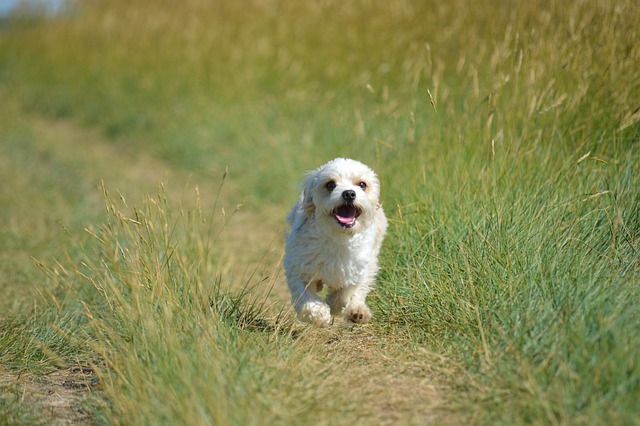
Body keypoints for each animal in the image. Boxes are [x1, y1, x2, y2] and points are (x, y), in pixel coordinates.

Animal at [286, 158, 390, 328]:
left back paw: (357, 312)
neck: (339, 238)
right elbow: (306, 296)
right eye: (330, 184)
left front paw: (338, 306)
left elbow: (347, 292)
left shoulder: (359, 268)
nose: (349, 193)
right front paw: (320, 315)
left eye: (362, 184)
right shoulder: (299, 266)